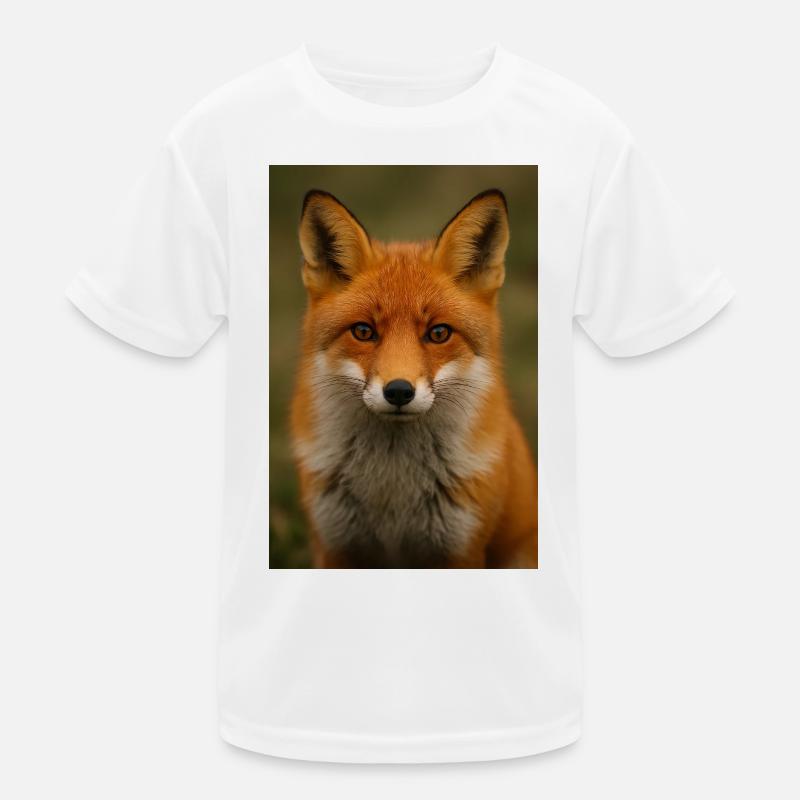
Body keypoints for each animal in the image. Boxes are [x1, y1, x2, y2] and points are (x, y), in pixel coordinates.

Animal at [290, 188, 537, 569]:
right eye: (363, 331)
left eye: (438, 333)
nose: (398, 391)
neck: (393, 489)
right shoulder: (334, 544)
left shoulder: (461, 546)